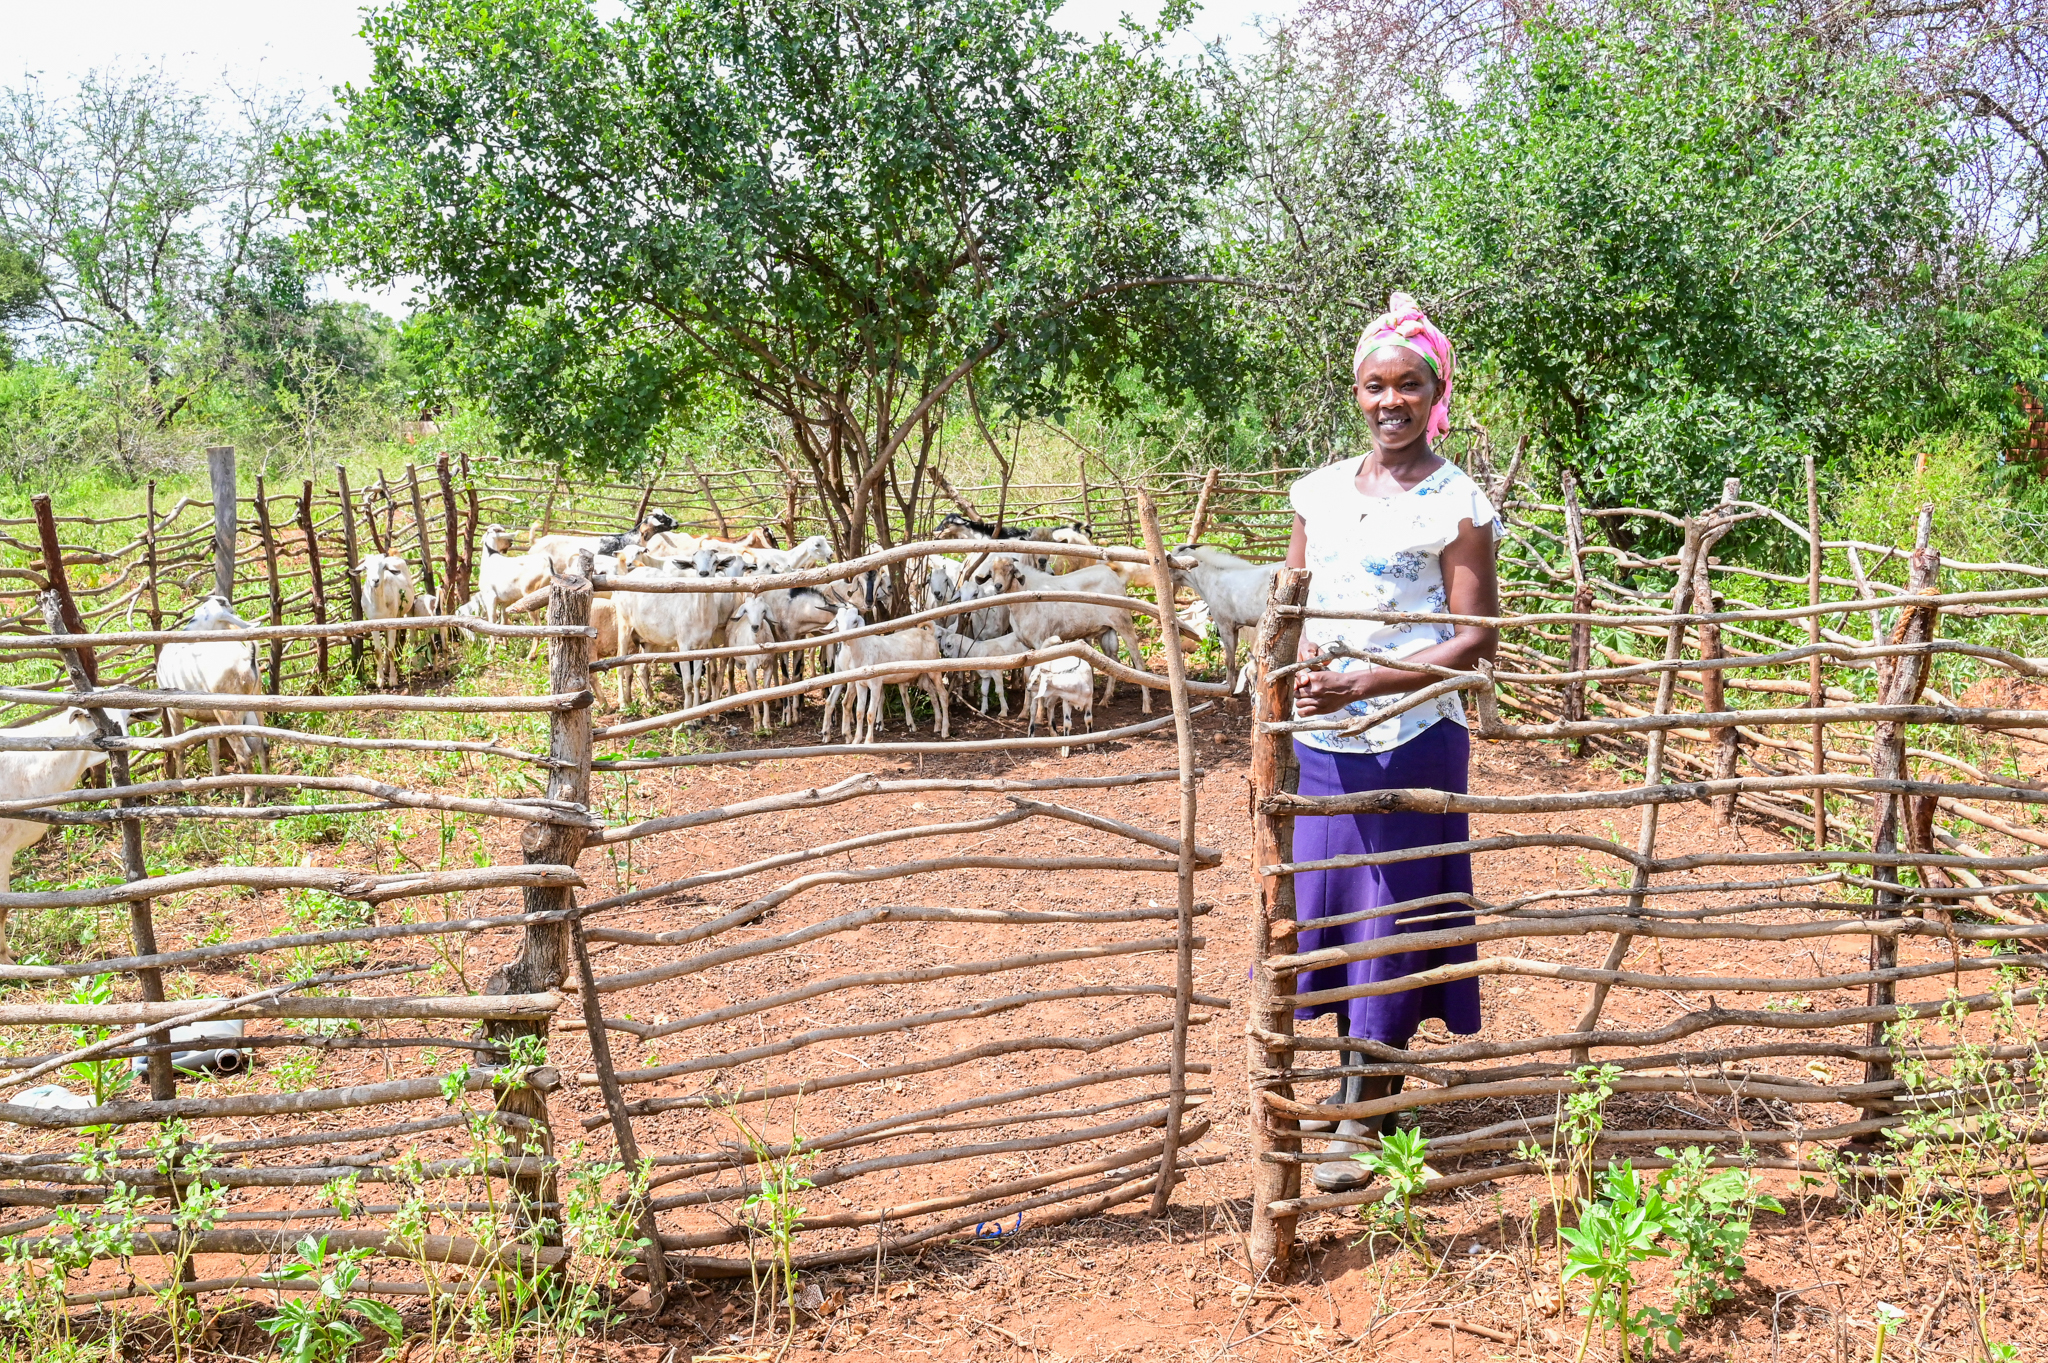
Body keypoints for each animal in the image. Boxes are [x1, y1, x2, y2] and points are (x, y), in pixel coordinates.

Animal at [983, 560, 1146, 716]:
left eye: (1010, 570)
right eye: (991, 573)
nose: (998, 586)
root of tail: (1116, 576)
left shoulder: (1040, 641)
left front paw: (1040, 714)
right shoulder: (1026, 646)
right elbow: (1027, 677)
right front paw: (1023, 713)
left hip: (1123, 622)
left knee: (1138, 662)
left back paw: (1146, 707)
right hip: (1106, 630)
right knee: (1113, 661)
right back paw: (1105, 700)